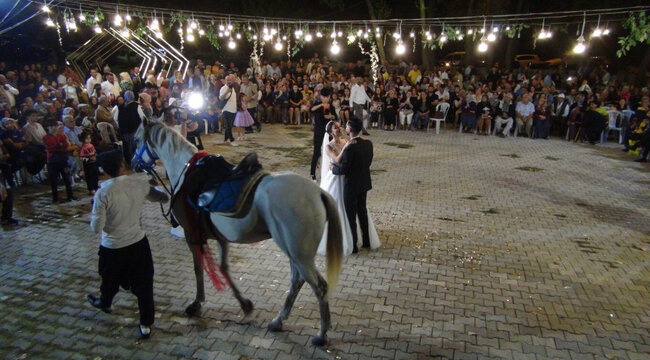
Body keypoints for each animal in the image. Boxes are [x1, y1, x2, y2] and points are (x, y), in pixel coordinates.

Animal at [132, 118, 344, 346]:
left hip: (298, 253)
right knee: (297, 281)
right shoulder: (220, 237)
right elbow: (224, 268)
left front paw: (196, 304)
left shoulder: (192, 234)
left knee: (318, 286)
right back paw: (278, 321)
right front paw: (245, 305)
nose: (134, 163)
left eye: (135, 139)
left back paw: (321, 335)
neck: (184, 171)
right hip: (295, 252)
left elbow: (198, 269)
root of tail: (318, 192)